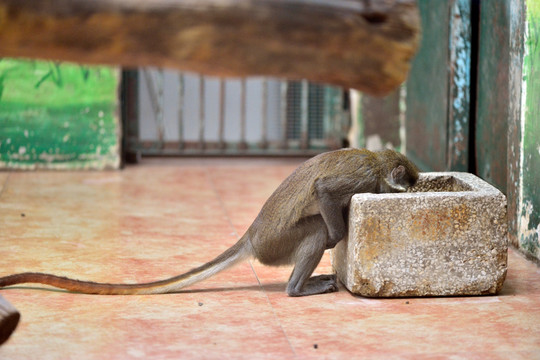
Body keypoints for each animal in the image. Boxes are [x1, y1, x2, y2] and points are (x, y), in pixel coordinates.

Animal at [0, 148, 418, 296]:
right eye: (410, 185)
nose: (413, 190)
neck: (379, 161)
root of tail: (251, 235)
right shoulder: (363, 177)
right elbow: (324, 190)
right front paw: (337, 234)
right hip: (275, 244)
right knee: (314, 228)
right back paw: (296, 289)